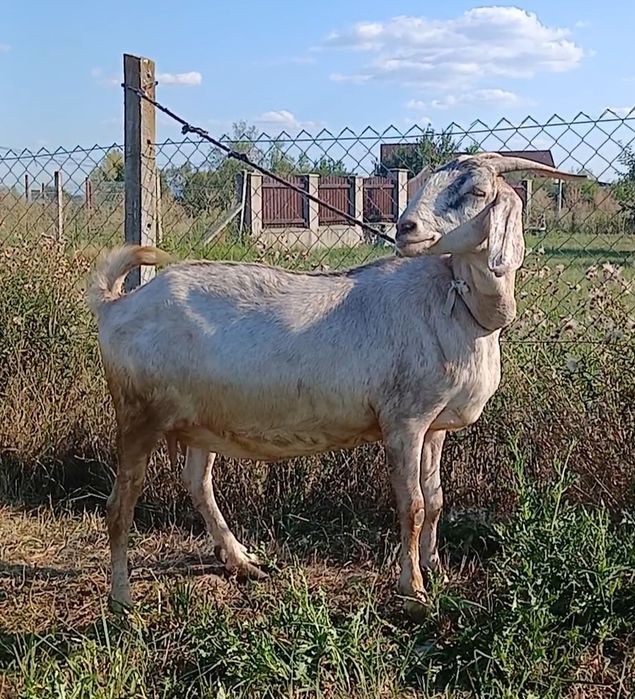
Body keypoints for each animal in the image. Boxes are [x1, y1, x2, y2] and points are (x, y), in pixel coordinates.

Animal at [87, 153, 581, 616]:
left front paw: (436, 568)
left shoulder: (435, 426)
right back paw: (122, 598)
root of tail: (115, 305)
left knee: (197, 482)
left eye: (476, 191)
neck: (456, 306)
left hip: (201, 419)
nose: (407, 228)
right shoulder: (404, 422)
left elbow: (437, 500)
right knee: (120, 504)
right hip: (138, 413)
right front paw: (414, 592)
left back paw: (242, 561)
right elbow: (413, 506)